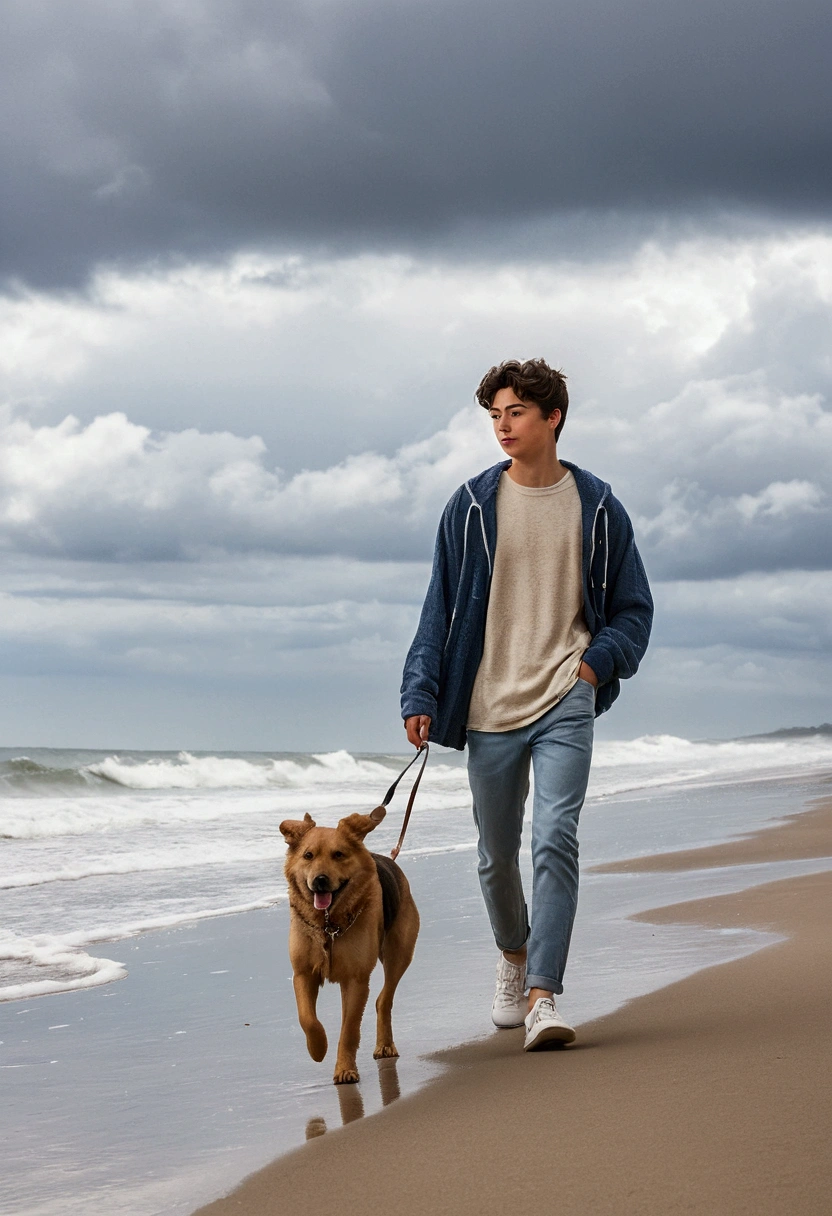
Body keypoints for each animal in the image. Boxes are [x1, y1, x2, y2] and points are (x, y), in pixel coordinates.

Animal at [280, 807, 423, 1084]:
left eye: (338, 854)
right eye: (308, 855)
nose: (320, 880)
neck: (328, 925)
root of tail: (392, 860)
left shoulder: (356, 980)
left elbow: (349, 1029)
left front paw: (345, 1069)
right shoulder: (302, 974)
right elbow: (307, 1019)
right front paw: (318, 1047)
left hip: (399, 954)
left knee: (384, 999)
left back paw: (384, 1044)